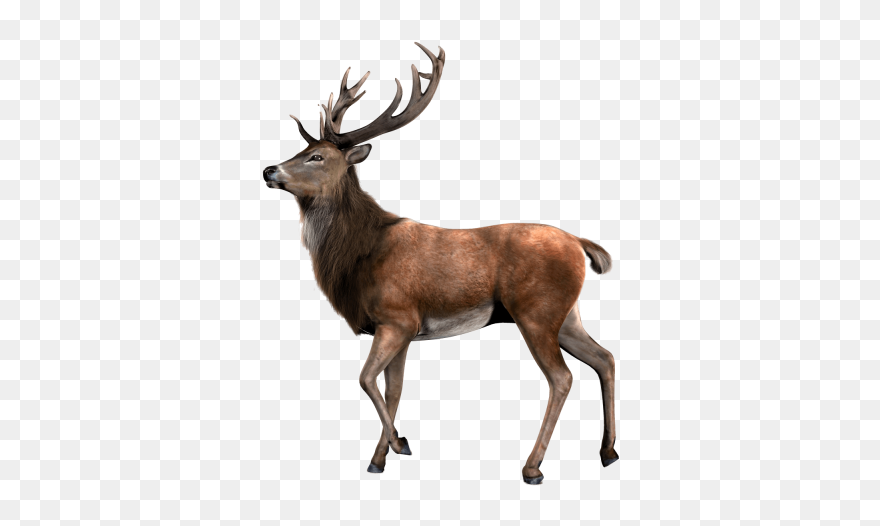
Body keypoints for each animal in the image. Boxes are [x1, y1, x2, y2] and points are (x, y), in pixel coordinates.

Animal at [262, 42, 618, 484]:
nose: (269, 170)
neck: (360, 255)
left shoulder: (397, 316)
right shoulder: (402, 329)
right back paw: (608, 451)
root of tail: (581, 245)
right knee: (605, 358)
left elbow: (365, 379)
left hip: (536, 311)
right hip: (567, 315)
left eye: (317, 156)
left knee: (563, 377)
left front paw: (399, 444)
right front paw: (380, 458)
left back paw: (533, 466)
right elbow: (392, 389)